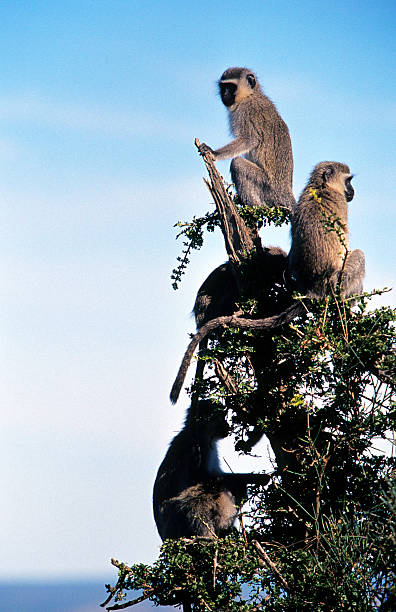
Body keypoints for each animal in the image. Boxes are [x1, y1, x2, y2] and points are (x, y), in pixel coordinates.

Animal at [200, 67, 296, 213]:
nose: (224, 94)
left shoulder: (246, 111)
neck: (250, 95)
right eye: (223, 87)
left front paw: (213, 153)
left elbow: (250, 140)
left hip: (267, 186)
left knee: (237, 163)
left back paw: (255, 208)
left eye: (230, 87)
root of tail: (286, 191)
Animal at [288, 161, 366, 298]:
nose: (353, 190)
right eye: (348, 181)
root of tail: (314, 288)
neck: (321, 186)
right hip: (338, 282)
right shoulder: (341, 201)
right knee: (359, 255)